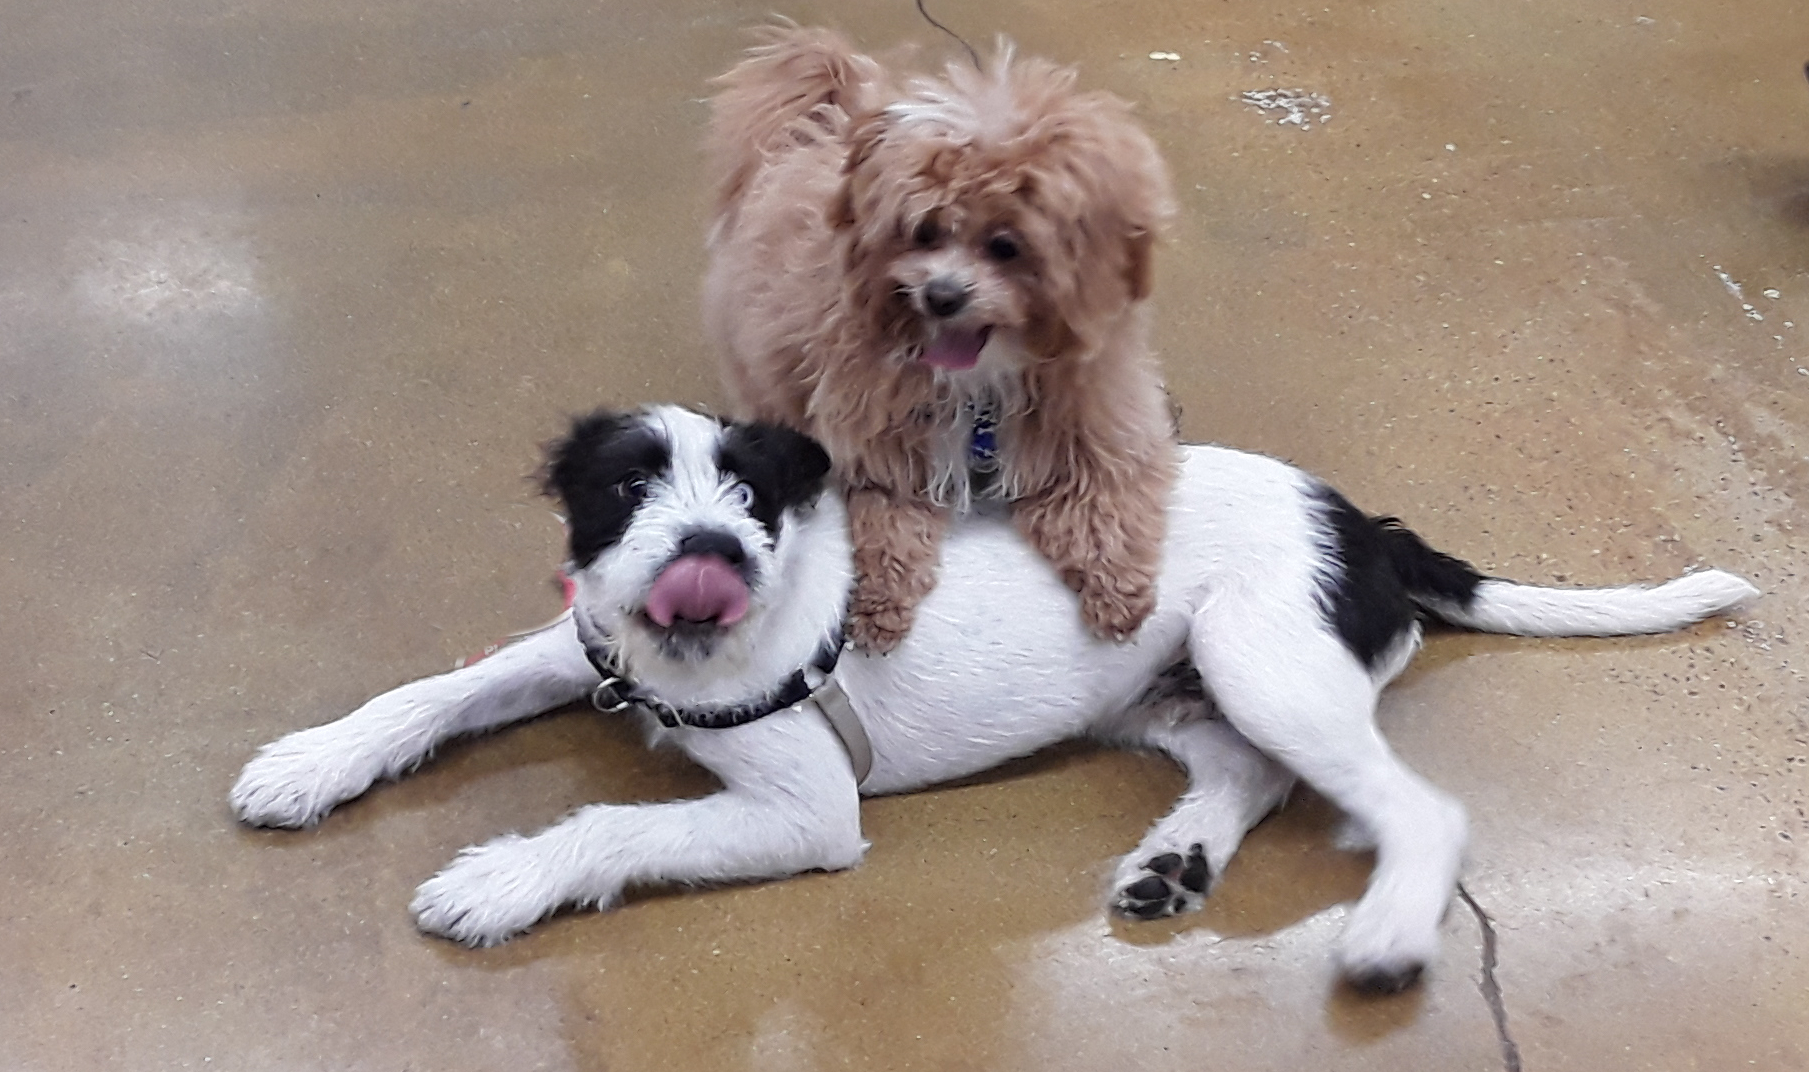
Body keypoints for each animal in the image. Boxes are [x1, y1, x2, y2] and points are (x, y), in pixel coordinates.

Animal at [230, 405, 1757, 993]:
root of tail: (1369, 527)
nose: (711, 554)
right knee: (1249, 774)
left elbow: (611, 823)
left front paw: (496, 880)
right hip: (1163, 690)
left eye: (755, 495)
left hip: (1261, 657)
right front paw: (311, 758)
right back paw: (1174, 861)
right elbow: (434, 691)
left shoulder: (807, 810)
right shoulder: (580, 648)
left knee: (1415, 809)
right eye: (624, 485)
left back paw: (1384, 931)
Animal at [703, 26, 1179, 653]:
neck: (983, 383)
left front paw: (1116, 587)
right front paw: (880, 602)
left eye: (1006, 245)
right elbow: (887, 521)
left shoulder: (1104, 426)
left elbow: (1109, 503)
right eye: (924, 232)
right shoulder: (879, 445)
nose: (941, 296)